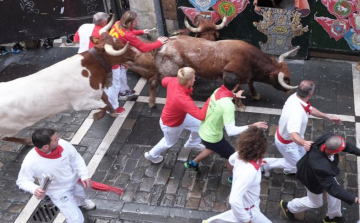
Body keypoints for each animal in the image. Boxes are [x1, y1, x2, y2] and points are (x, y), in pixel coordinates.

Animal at [149, 34, 298, 110]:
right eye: (286, 79)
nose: (289, 91)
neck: (251, 59)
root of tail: (163, 44)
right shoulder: (232, 76)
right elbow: (237, 91)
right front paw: (240, 106)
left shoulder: (245, 77)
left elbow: (250, 84)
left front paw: (255, 95)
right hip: (168, 72)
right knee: (153, 81)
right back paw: (152, 102)